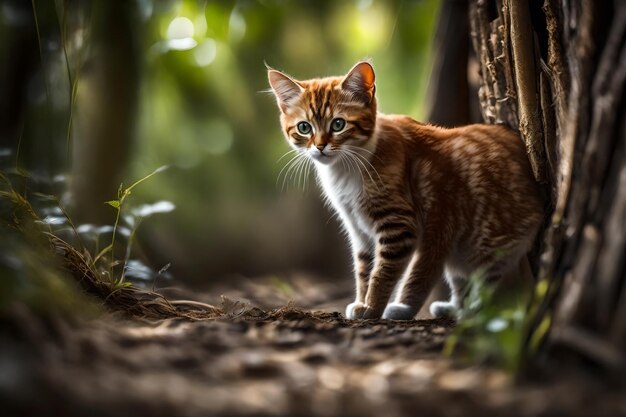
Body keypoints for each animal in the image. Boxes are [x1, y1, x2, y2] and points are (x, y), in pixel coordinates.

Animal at [266, 61, 540, 318]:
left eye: (338, 124)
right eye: (304, 128)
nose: (320, 147)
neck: (348, 167)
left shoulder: (399, 224)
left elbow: (383, 273)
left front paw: (372, 308)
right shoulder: (359, 230)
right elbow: (364, 270)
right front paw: (362, 301)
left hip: (473, 237)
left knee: (472, 282)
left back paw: (420, 310)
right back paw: (454, 309)